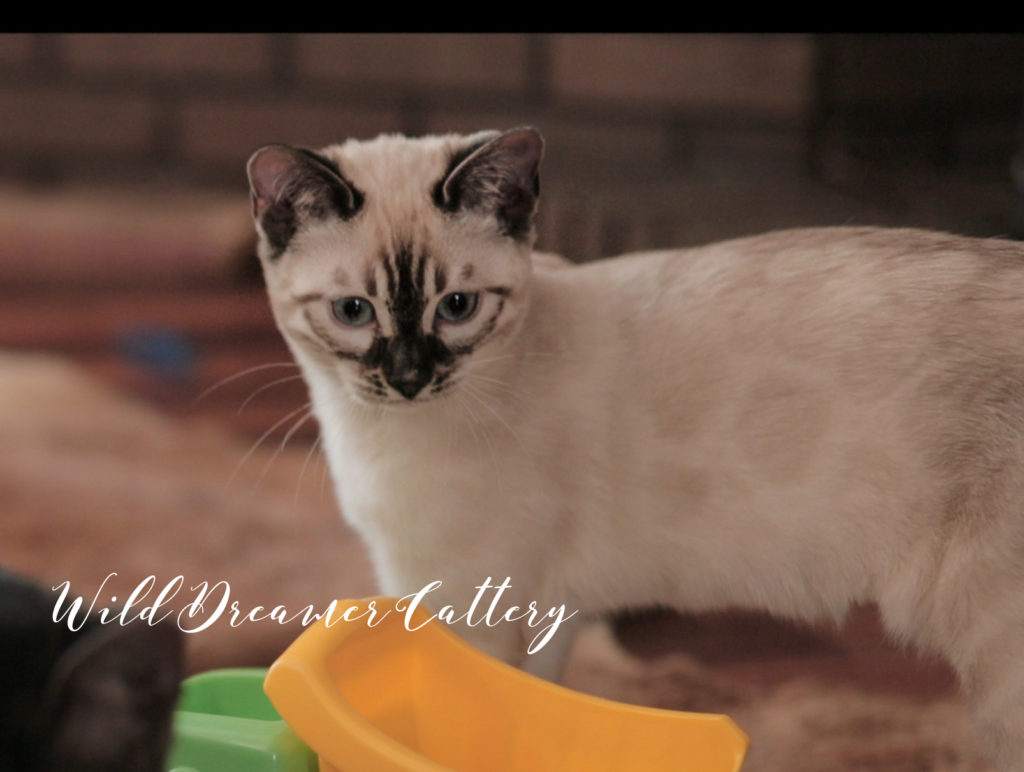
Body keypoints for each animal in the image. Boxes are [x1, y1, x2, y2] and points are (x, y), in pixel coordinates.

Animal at [245, 126, 1024, 765]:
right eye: (354, 312)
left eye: (457, 307)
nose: (409, 378)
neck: (377, 436)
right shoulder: (544, 617)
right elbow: (536, 704)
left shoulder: (465, 609)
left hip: (999, 659)